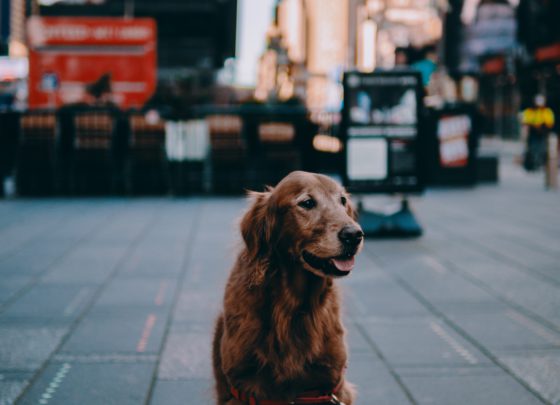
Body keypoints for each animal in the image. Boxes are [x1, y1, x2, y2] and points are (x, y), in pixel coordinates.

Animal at [213, 171, 364, 404]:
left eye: (342, 201)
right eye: (307, 203)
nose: (354, 235)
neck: (294, 308)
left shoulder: (330, 386)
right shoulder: (244, 389)